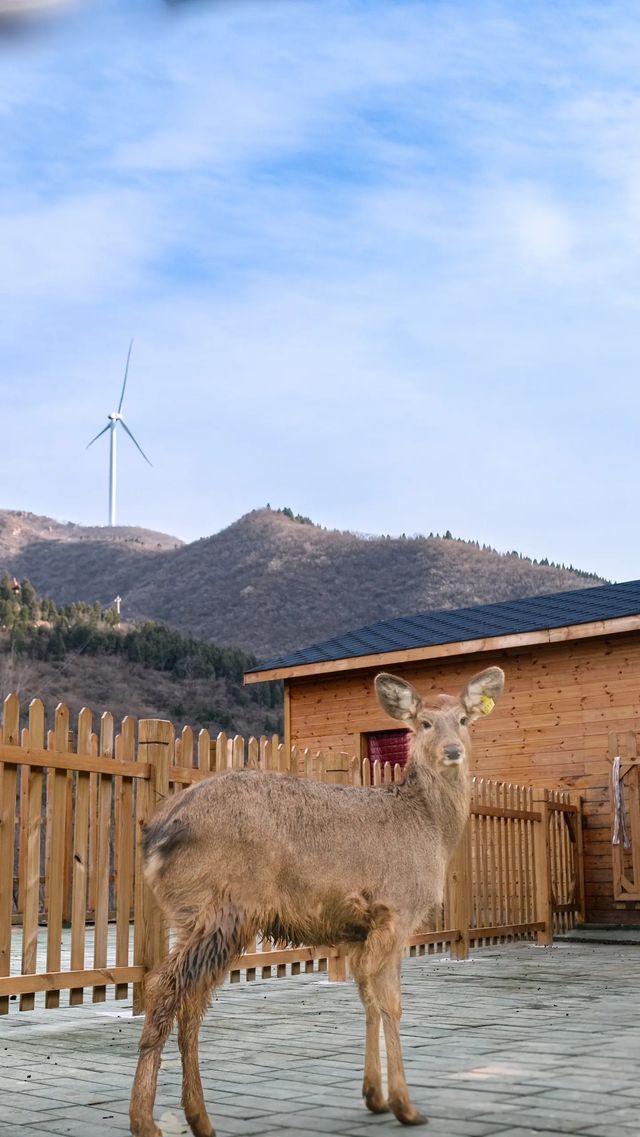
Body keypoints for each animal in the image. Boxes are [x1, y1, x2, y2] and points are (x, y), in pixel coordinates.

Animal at [129, 664, 506, 1137]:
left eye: (464, 719)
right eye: (423, 722)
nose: (453, 750)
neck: (431, 830)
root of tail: (155, 835)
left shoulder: (360, 930)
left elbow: (367, 1001)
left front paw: (374, 1096)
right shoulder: (397, 909)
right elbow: (393, 1005)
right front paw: (405, 1106)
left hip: (195, 914)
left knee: (192, 998)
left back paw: (199, 1118)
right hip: (224, 905)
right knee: (163, 985)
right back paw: (145, 1120)